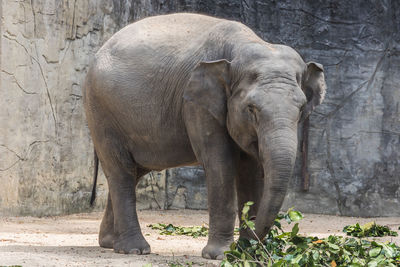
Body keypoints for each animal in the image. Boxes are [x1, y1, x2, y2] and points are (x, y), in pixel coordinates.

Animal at [83, 13, 326, 262]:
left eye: (302, 108)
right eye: (251, 109)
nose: (257, 244)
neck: (246, 44)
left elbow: (252, 171)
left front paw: (249, 252)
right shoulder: (196, 104)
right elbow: (220, 164)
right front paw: (221, 254)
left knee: (134, 172)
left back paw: (110, 243)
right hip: (101, 111)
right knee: (121, 171)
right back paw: (134, 249)